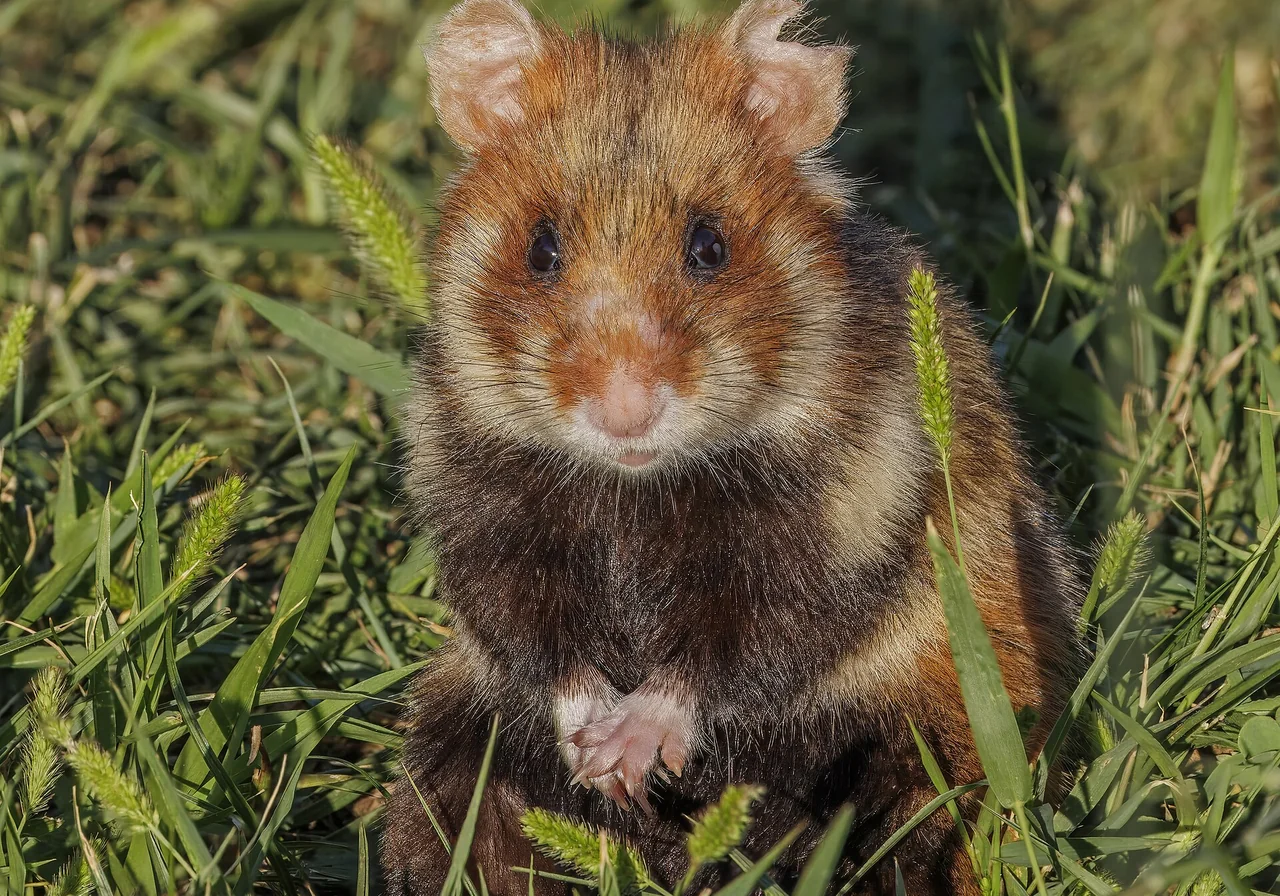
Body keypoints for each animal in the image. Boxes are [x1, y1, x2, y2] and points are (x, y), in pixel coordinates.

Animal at [381, 1, 1081, 894]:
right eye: (541, 247)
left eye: (709, 245)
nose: (625, 411)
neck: (635, 490)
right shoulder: (480, 515)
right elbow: (539, 640)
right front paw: (599, 766)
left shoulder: (845, 526)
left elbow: (734, 651)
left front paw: (627, 754)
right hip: (453, 744)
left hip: (939, 736)